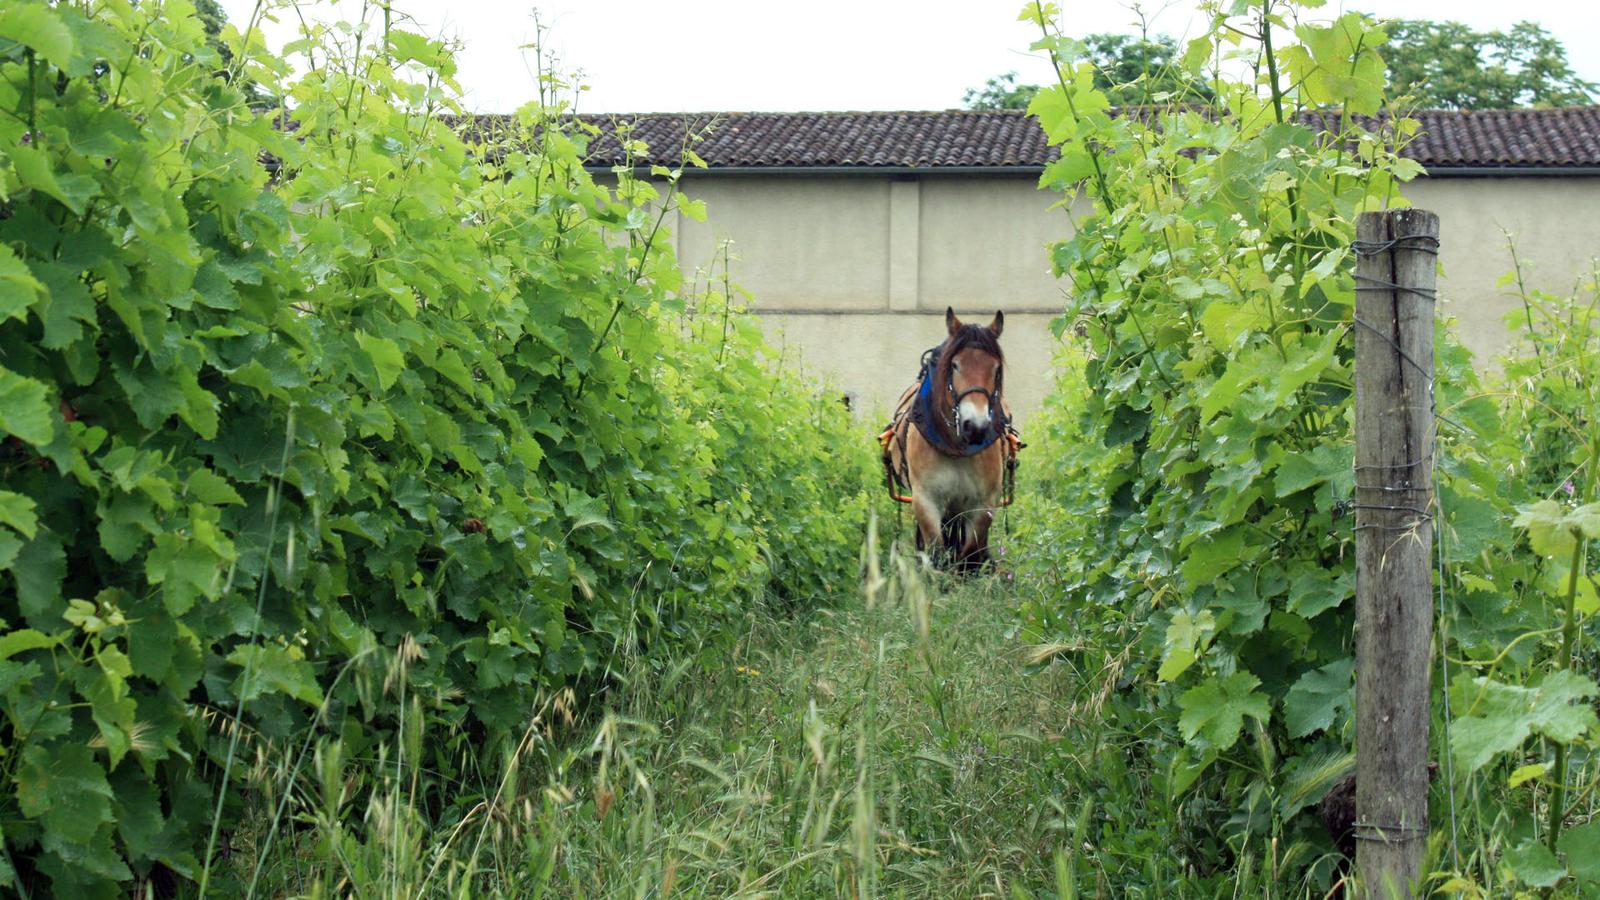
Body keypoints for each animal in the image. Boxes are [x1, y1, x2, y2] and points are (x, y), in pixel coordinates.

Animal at [880, 307, 1019, 571]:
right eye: (955, 365)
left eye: (996, 368)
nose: (975, 426)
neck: (956, 447)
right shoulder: (925, 500)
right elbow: (936, 553)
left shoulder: (983, 503)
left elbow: (969, 555)